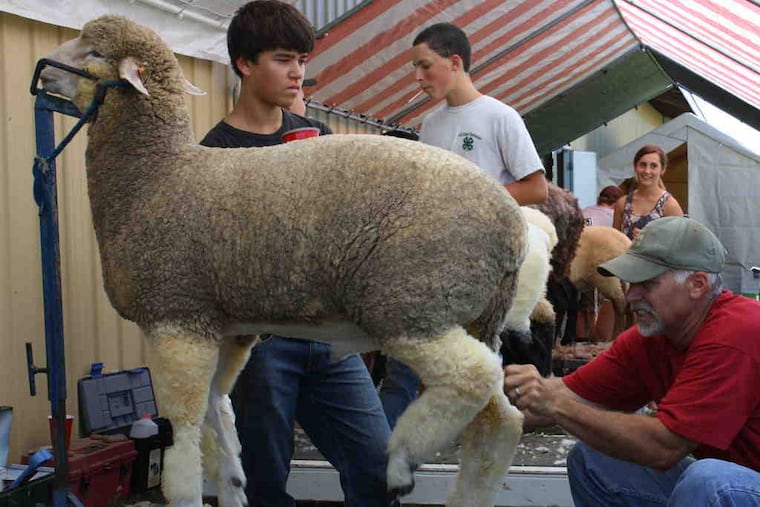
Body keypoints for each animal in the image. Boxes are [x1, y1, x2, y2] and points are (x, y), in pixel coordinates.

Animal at [40, 16, 527, 507]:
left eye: (94, 50)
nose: (44, 71)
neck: (152, 176)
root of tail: (513, 230)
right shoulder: (225, 327)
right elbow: (218, 423)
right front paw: (234, 484)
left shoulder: (175, 316)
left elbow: (185, 450)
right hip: (469, 316)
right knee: (501, 421)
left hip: (413, 302)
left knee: (472, 376)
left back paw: (403, 457)